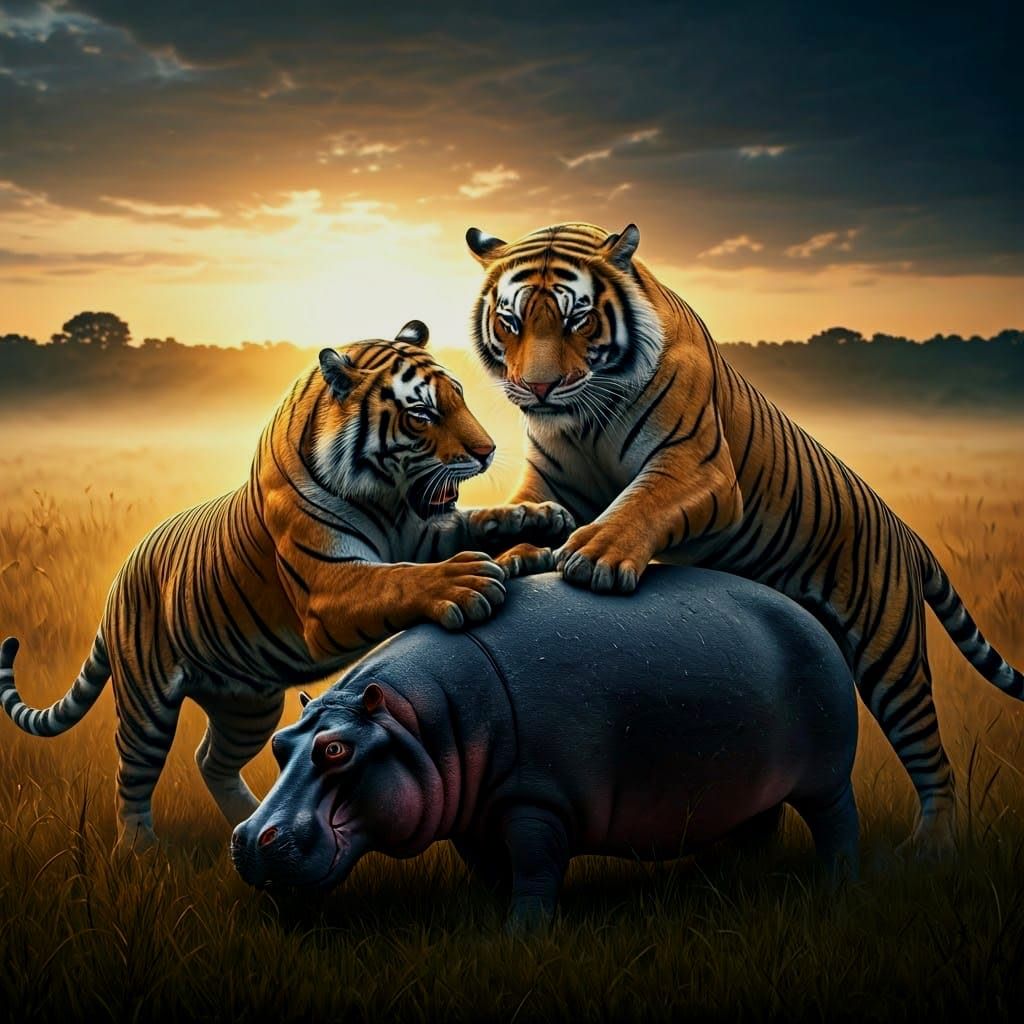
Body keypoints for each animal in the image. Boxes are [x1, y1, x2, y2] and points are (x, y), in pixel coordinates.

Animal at [0, 319, 572, 850]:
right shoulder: (330, 589)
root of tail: (121, 574)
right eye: (421, 415)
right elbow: (399, 581)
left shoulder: (424, 531)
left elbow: (477, 521)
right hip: (147, 706)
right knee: (133, 778)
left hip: (249, 707)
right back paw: (139, 850)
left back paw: (246, 818)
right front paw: (467, 581)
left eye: (459, 398)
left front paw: (538, 521)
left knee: (210, 759)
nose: (487, 451)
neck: (388, 499)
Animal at [231, 566, 859, 928]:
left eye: (336, 750)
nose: (248, 838)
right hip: (755, 783)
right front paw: (489, 918)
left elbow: (534, 866)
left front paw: (523, 935)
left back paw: (837, 889)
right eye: (280, 744)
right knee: (758, 825)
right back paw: (726, 877)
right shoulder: (472, 814)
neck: (415, 721)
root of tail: (806, 613)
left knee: (836, 826)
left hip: (827, 775)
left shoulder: (537, 801)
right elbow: (490, 868)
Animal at [466, 221, 1024, 857]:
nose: (537, 389)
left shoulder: (697, 464)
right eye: (510, 322)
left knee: (933, 758)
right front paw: (503, 555)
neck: (586, 421)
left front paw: (593, 556)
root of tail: (907, 532)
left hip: (891, 655)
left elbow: (640, 502)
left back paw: (931, 846)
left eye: (577, 320)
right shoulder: (551, 479)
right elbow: (526, 512)